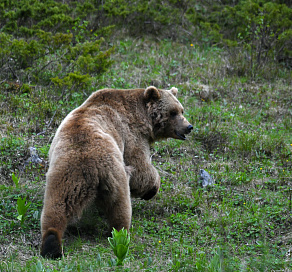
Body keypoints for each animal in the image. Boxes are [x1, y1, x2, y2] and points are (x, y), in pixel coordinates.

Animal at [40, 86, 192, 258]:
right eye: (173, 112)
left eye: (181, 110)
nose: (189, 127)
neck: (142, 116)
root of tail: (86, 160)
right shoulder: (131, 135)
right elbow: (140, 167)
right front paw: (152, 189)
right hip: (113, 173)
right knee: (119, 204)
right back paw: (120, 232)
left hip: (64, 175)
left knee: (56, 207)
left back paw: (51, 244)